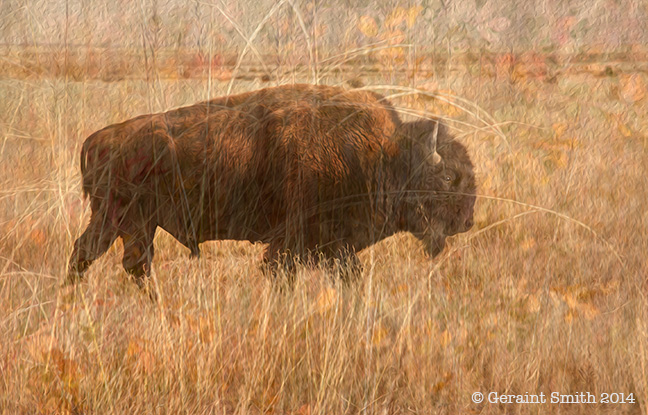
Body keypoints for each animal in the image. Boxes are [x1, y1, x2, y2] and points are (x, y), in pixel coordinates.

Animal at [67, 84, 476, 290]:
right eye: (448, 178)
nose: (467, 221)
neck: (382, 153)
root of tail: (99, 138)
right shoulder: (294, 244)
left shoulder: (335, 248)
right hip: (125, 218)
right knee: (117, 260)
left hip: (126, 222)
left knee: (104, 257)